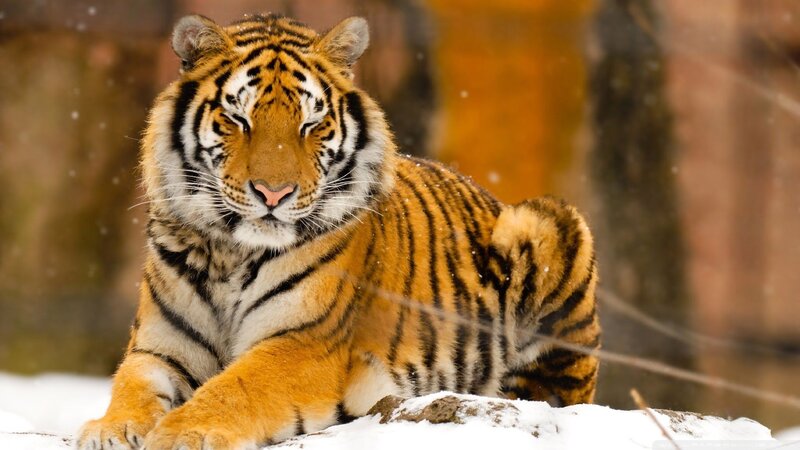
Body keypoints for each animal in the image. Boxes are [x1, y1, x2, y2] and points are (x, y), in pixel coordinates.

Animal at [77, 13, 600, 450]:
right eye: (238, 119)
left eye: (311, 124)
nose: (273, 193)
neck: (230, 251)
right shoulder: (160, 347)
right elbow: (130, 384)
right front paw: (109, 429)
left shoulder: (305, 342)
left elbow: (236, 387)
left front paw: (182, 433)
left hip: (547, 224)